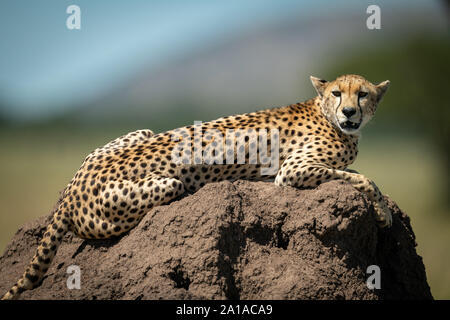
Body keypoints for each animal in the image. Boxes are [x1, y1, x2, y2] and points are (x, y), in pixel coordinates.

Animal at [1, 74, 390, 298]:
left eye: (363, 94)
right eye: (338, 93)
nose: (350, 112)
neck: (325, 113)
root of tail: (70, 192)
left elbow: (359, 173)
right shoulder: (293, 171)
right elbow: (362, 177)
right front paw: (383, 212)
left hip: (139, 134)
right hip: (165, 186)